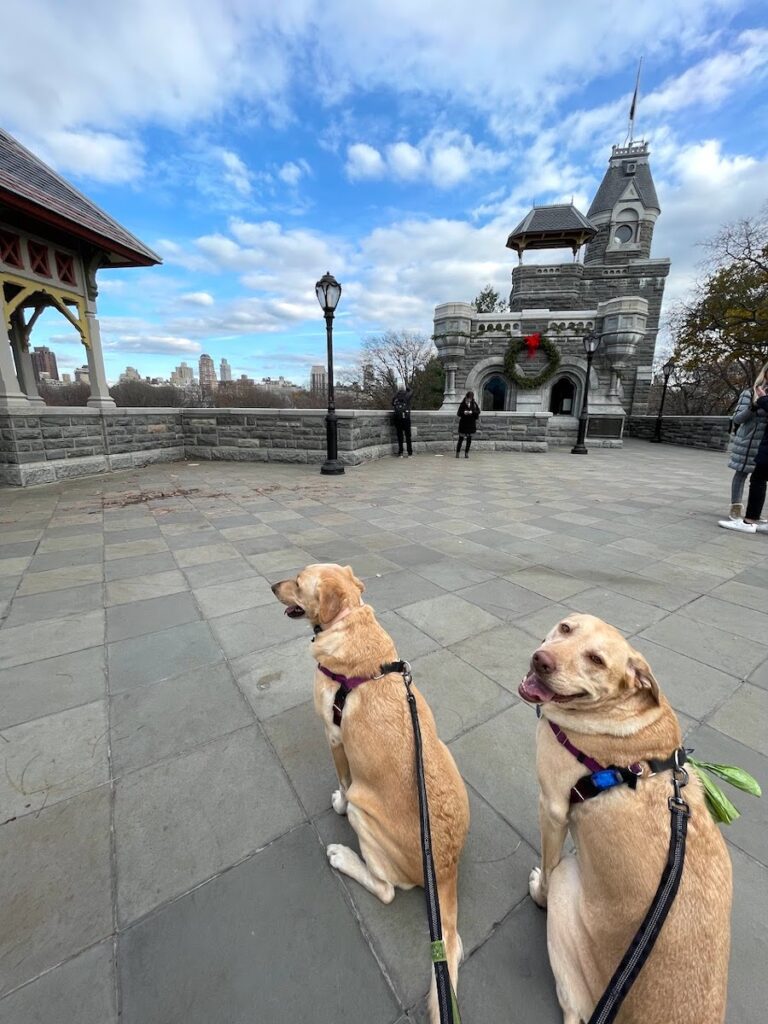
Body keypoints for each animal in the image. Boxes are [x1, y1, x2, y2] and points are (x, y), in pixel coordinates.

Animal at [274, 565, 473, 1019]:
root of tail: (444, 867)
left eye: (298, 581)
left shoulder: (334, 737)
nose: (272, 586)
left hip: (366, 815)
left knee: (384, 889)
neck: (349, 621)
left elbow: (343, 783)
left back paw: (343, 856)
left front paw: (337, 802)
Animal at [520, 614, 729, 1024]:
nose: (541, 660)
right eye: (566, 628)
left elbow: (548, 866)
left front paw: (538, 891)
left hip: (569, 880)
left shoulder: (552, 808)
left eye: (596, 660)